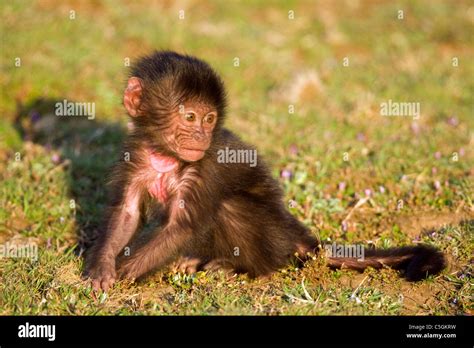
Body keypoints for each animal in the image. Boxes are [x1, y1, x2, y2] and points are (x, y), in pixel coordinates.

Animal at [84, 51, 444, 290]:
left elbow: (182, 226)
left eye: (209, 119)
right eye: (189, 117)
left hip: (272, 238)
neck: (167, 155)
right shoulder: (136, 156)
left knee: (231, 206)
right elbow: (127, 212)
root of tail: (293, 234)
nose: (200, 137)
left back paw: (242, 269)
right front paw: (102, 268)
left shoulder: (207, 167)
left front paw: (125, 273)